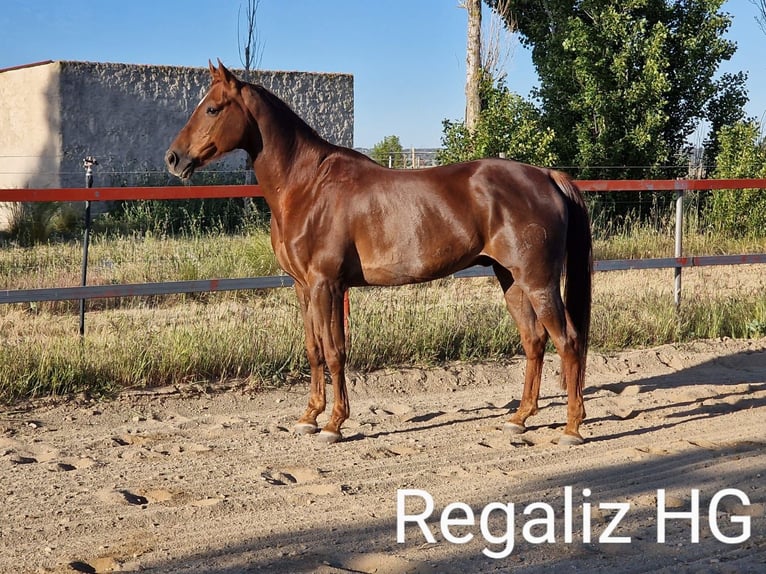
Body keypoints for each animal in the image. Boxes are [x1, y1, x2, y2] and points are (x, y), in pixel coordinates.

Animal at [166, 60, 593, 445]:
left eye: (213, 108)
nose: (173, 159)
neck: (307, 186)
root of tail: (547, 176)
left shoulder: (327, 285)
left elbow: (335, 351)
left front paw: (334, 424)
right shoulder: (303, 287)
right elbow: (314, 349)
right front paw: (309, 417)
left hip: (538, 281)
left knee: (568, 341)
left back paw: (571, 429)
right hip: (511, 279)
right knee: (534, 341)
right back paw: (520, 418)